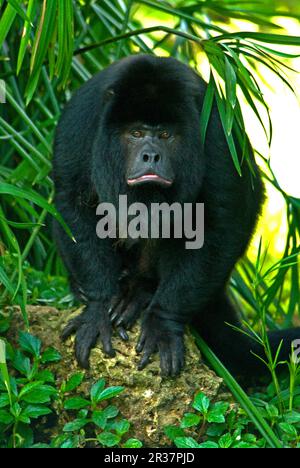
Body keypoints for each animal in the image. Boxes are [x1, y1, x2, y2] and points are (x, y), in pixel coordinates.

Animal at [52, 54, 298, 378]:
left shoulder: (215, 131)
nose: (151, 155)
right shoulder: (82, 121)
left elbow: (219, 219)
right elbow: (72, 200)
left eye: (165, 135)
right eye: (136, 133)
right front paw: (98, 306)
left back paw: (141, 292)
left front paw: (162, 321)